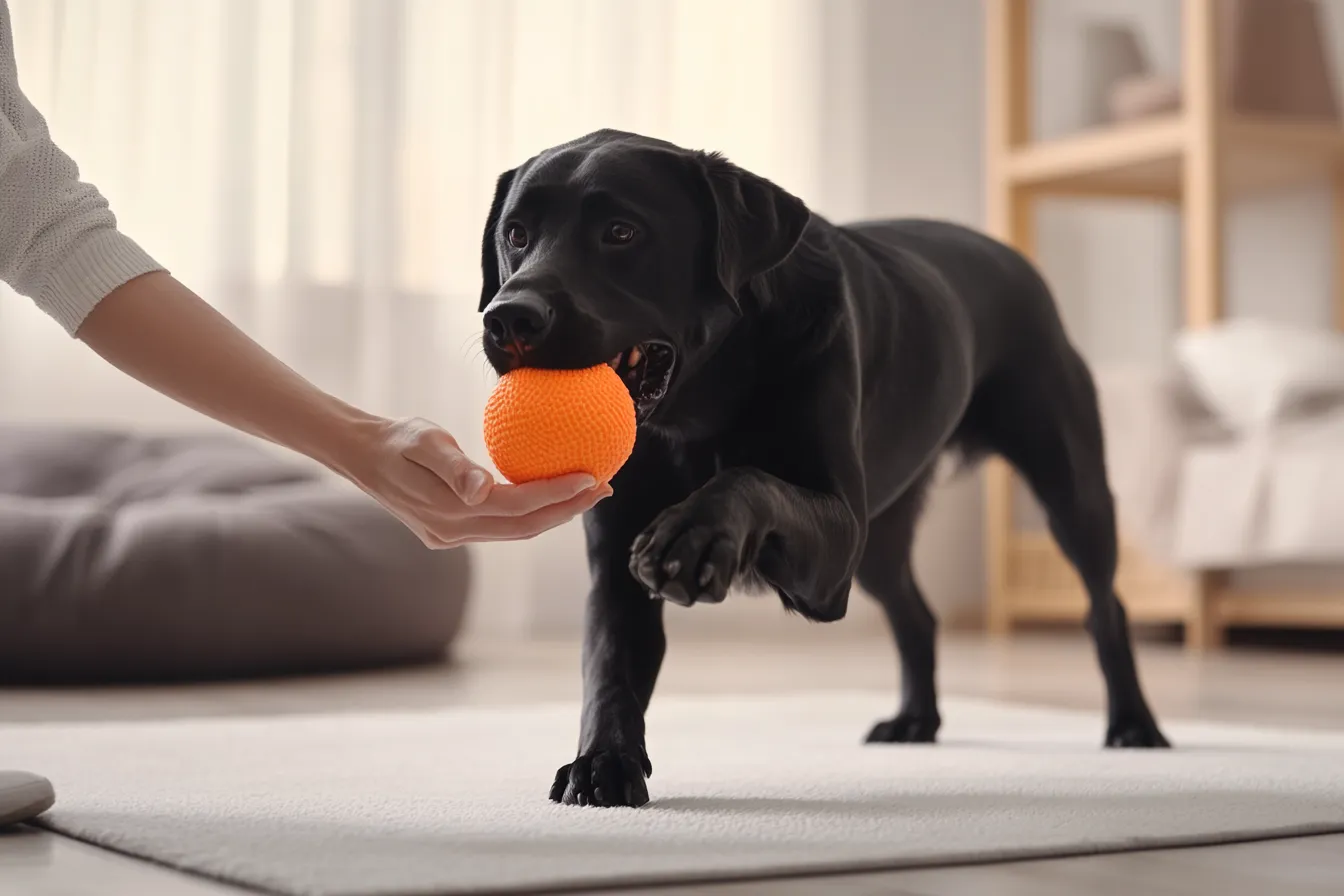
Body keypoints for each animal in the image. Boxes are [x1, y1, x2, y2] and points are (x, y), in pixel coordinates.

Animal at [478, 129, 1171, 811]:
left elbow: (750, 479)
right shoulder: (617, 560)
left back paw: (1134, 724)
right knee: (916, 614)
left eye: (621, 232)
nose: (509, 317)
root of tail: (1017, 260)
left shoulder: (834, 537)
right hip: (883, 539)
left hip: (1068, 488)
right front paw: (603, 763)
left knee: (1104, 606)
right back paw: (915, 720)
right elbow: (609, 666)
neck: (701, 403)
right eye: (516, 235)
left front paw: (695, 535)